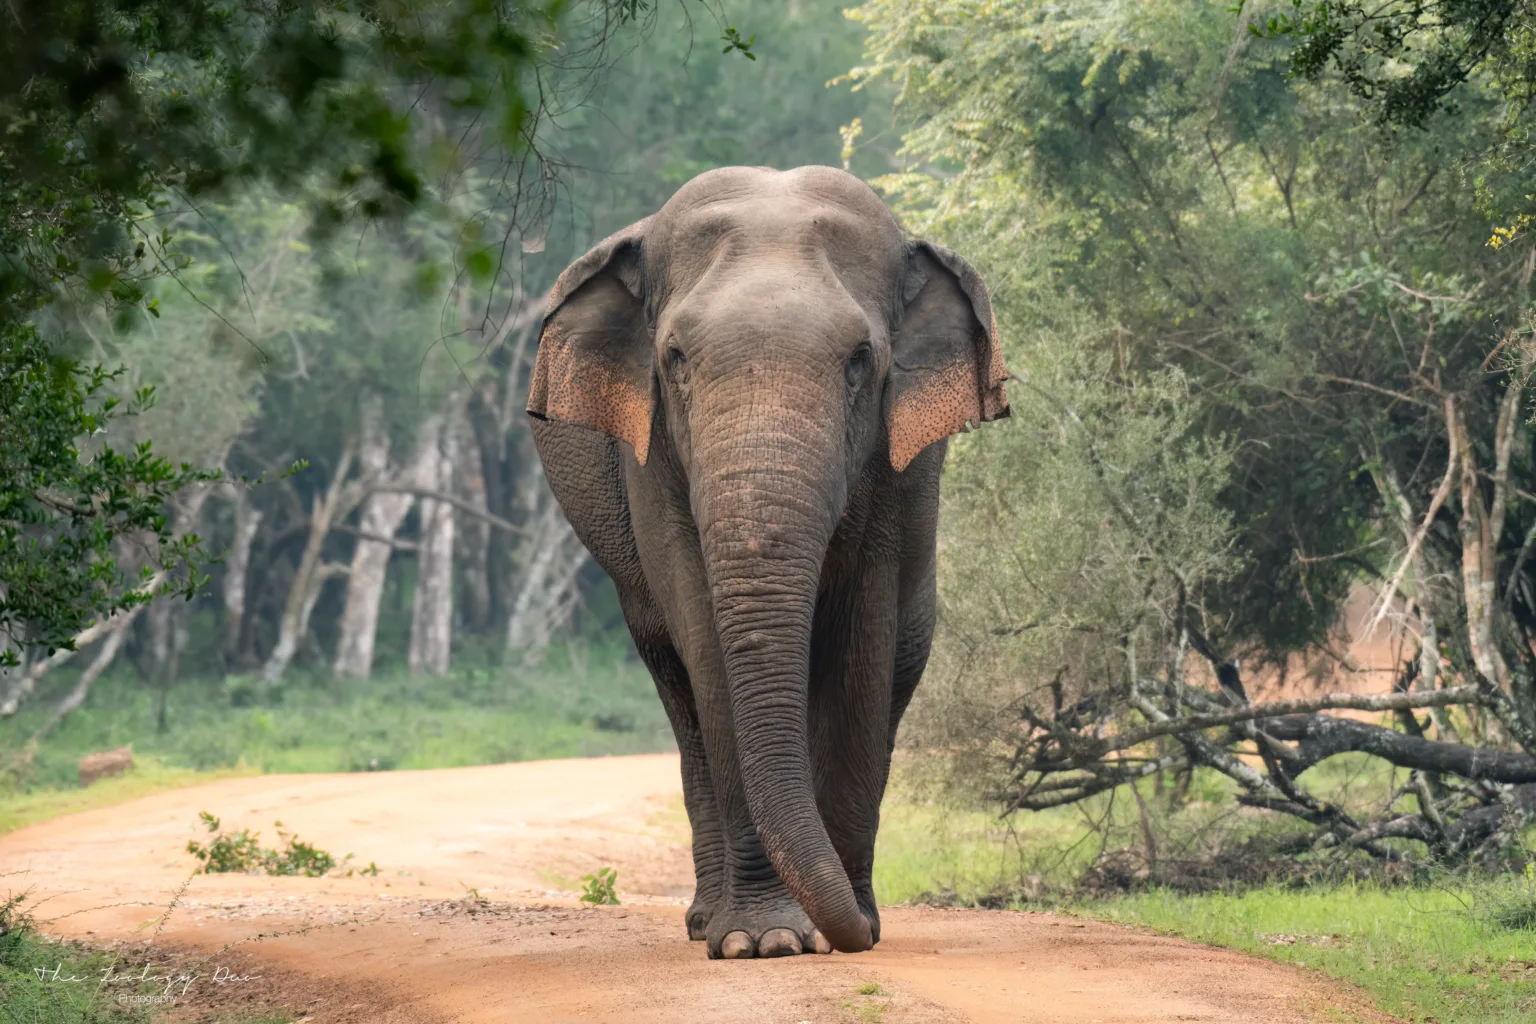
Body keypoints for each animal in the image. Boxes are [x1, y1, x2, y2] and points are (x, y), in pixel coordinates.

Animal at [526, 165, 1010, 959]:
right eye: (675, 360)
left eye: (860, 361)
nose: (850, 932)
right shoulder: (653, 457)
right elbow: (706, 640)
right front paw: (767, 942)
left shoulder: (895, 469)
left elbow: (862, 639)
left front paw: (849, 928)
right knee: (678, 687)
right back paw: (705, 924)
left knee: (897, 667)